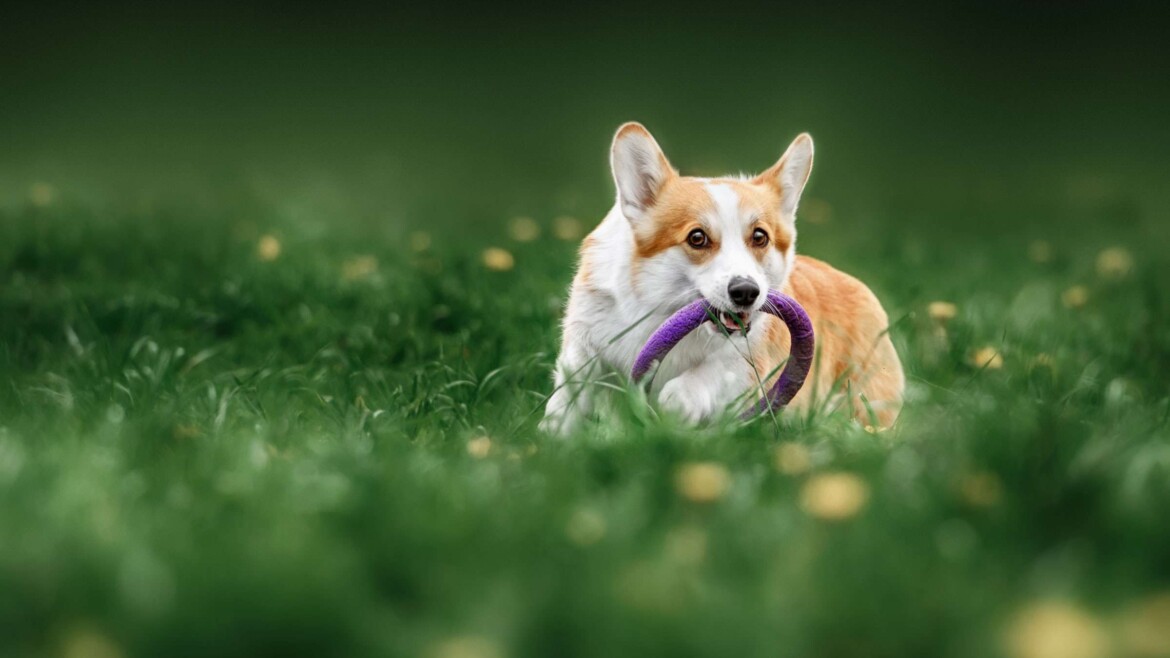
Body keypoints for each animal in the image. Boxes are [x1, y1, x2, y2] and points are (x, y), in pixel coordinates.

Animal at [538, 122, 903, 435]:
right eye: (697, 238)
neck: (659, 310)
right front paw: (552, 437)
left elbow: (702, 378)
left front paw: (674, 403)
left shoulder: (745, 362)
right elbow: (568, 400)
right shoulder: (584, 348)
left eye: (760, 237)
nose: (746, 293)